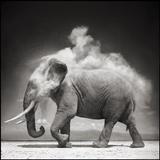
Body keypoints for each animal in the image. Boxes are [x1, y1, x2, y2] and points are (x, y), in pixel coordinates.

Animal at [5, 57, 145, 148]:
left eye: (33, 86)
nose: (41, 127)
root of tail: (132, 92)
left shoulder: (68, 90)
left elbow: (68, 112)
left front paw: (64, 140)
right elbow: (66, 117)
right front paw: (65, 144)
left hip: (116, 99)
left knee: (110, 120)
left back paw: (97, 145)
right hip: (123, 102)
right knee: (129, 120)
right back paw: (136, 146)